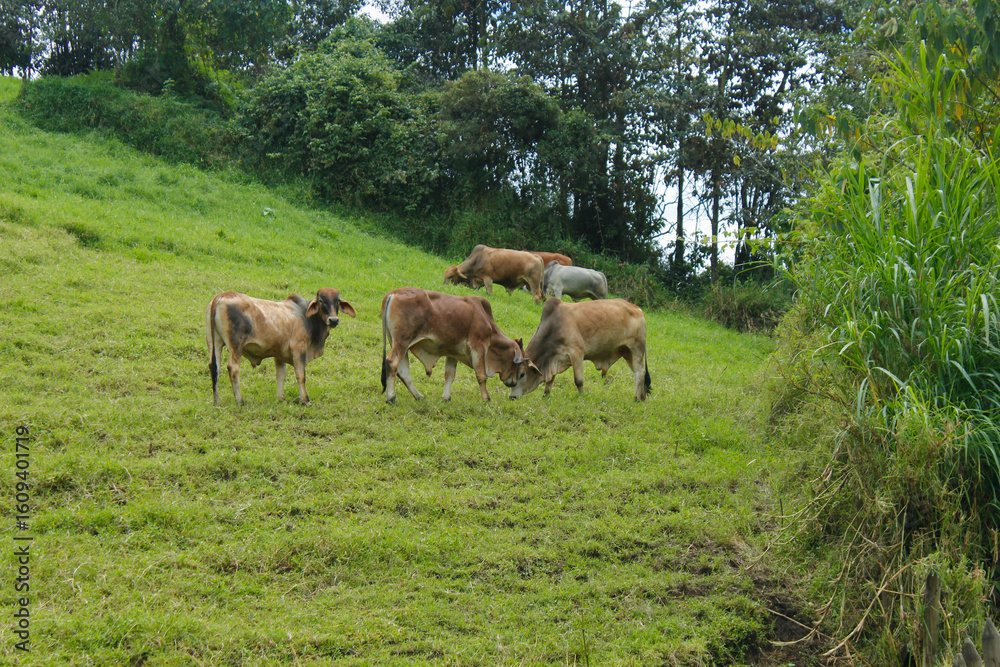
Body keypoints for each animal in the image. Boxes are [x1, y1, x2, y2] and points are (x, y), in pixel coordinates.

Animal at [206, 288, 356, 405]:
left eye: (337, 301)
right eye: (321, 300)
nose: (333, 320)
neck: (305, 315)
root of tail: (220, 296)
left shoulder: (279, 354)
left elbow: (281, 375)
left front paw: (281, 398)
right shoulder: (299, 349)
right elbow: (300, 375)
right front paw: (305, 400)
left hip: (215, 343)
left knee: (214, 367)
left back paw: (217, 400)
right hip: (235, 345)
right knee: (233, 368)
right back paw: (240, 401)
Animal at [381, 287, 531, 402]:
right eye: (522, 371)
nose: (514, 383)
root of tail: (393, 293)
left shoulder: (453, 352)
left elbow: (450, 375)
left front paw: (446, 398)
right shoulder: (478, 346)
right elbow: (481, 375)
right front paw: (486, 398)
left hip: (397, 343)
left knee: (403, 371)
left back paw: (418, 396)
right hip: (402, 341)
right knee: (392, 363)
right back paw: (391, 397)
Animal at [509, 297, 651, 401]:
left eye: (522, 374)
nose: (512, 397)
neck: (554, 328)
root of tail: (638, 309)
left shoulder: (576, 353)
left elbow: (579, 381)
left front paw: (582, 397)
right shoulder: (555, 359)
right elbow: (550, 381)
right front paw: (545, 396)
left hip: (636, 349)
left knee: (640, 372)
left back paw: (636, 398)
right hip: (627, 352)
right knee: (639, 373)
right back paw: (641, 397)